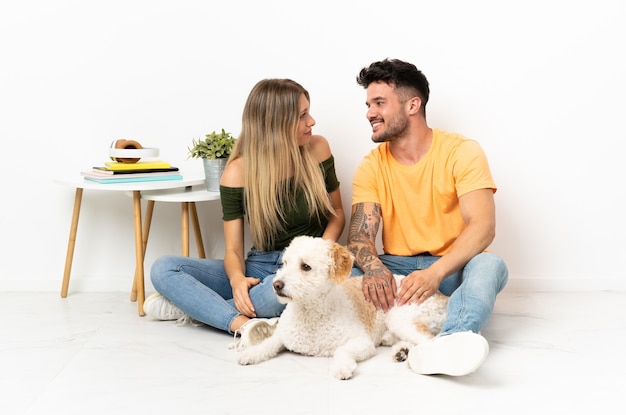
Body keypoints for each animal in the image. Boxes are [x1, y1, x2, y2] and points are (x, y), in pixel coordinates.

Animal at [233, 237, 444, 380]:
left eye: (305, 266)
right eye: (285, 263)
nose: (276, 284)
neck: (310, 313)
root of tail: (441, 296)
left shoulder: (363, 342)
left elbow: (341, 351)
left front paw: (342, 367)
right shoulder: (283, 336)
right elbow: (267, 344)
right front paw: (250, 354)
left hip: (400, 319)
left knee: (430, 341)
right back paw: (403, 351)